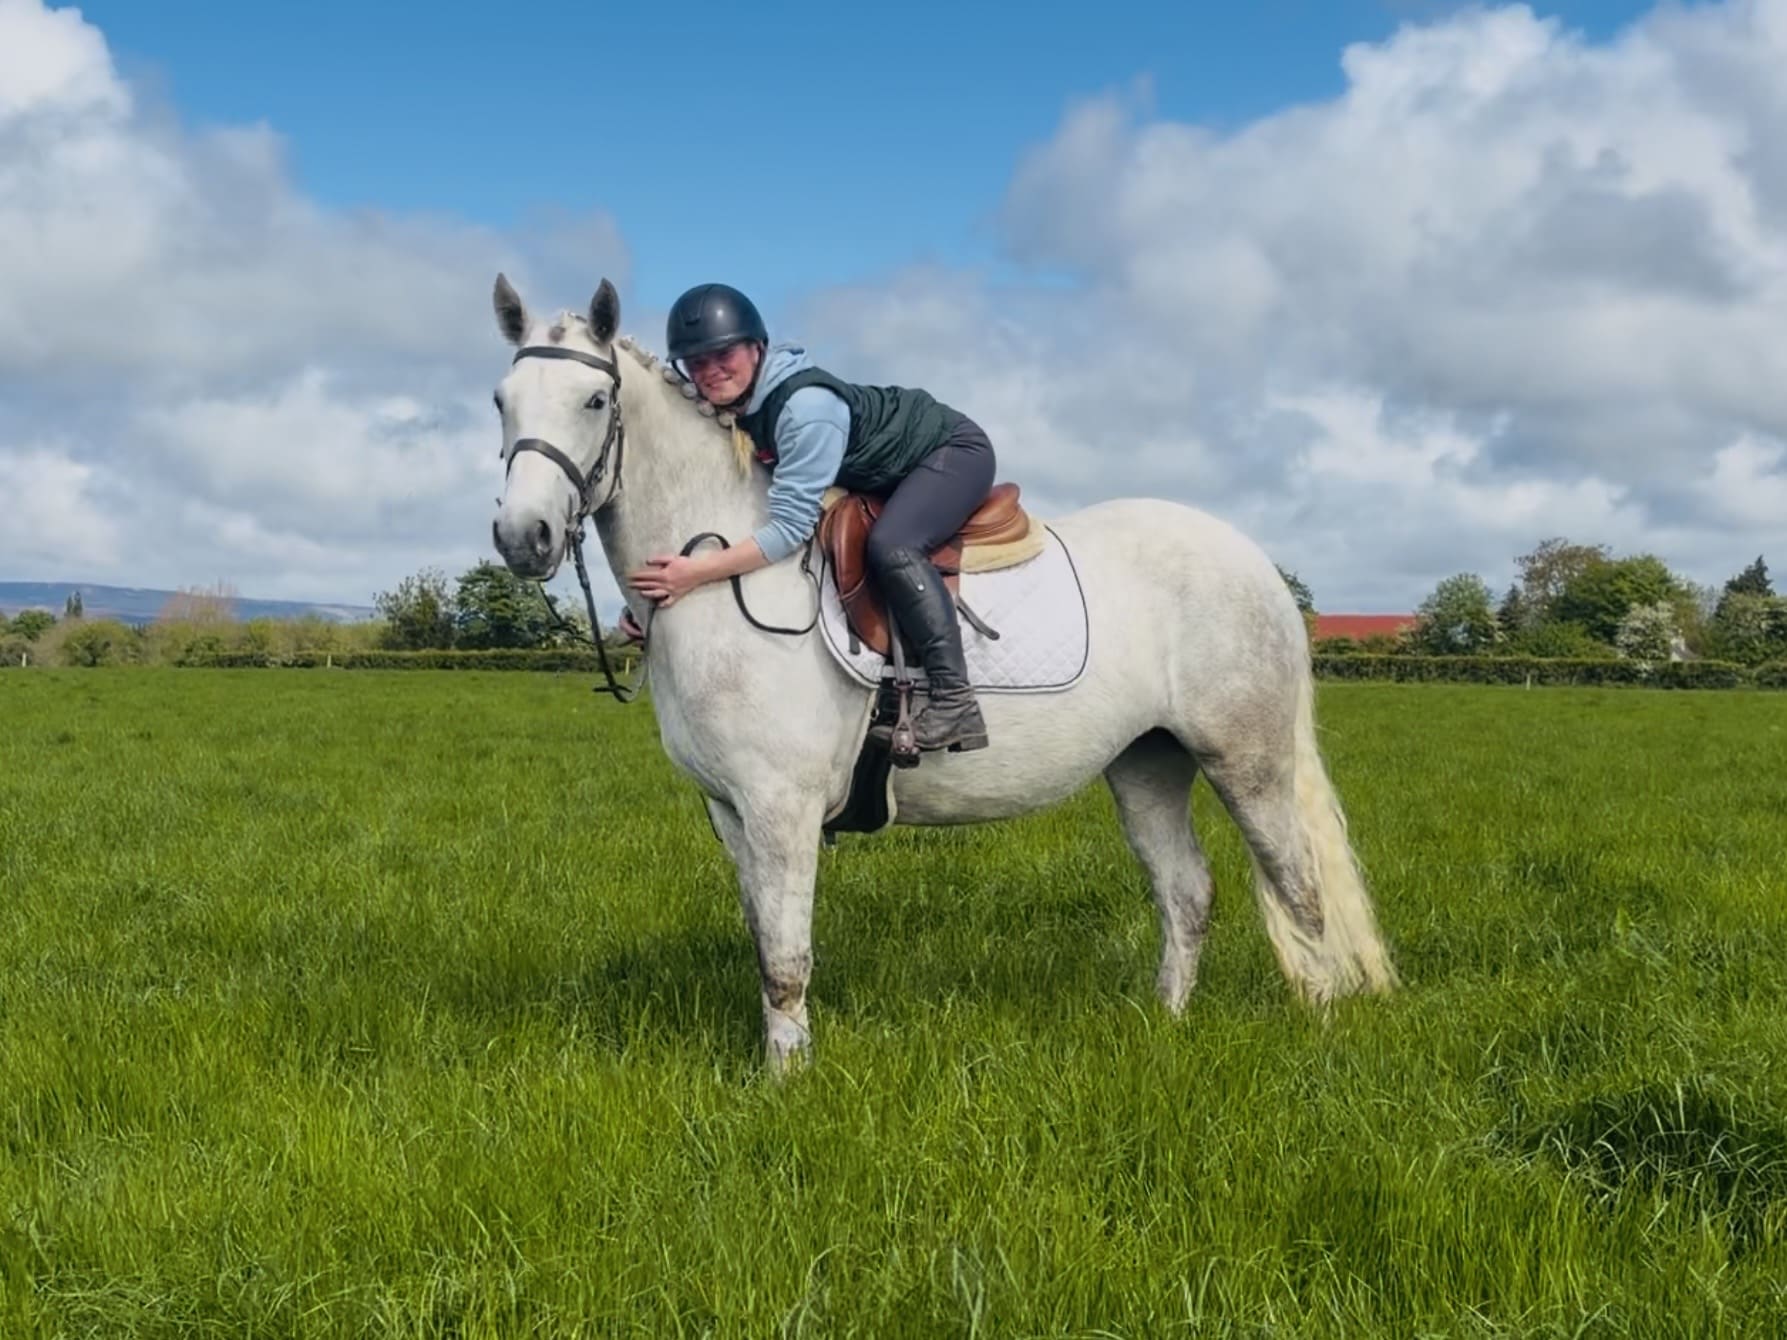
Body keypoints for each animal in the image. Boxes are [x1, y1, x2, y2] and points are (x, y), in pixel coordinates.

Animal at [487, 274, 1397, 1072]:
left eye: (593, 402)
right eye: (501, 400)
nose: (523, 537)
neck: (724, 577)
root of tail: (1253, 562)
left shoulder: (781, 807)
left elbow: (786, 956)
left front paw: (786, 1089)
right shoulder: (729, 810)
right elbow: (763, 944)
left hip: (1246, 759)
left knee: (1299, 889)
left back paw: (1319, 1033)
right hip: (1146, 762)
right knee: (1187, 892)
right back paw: (1167, 1025)